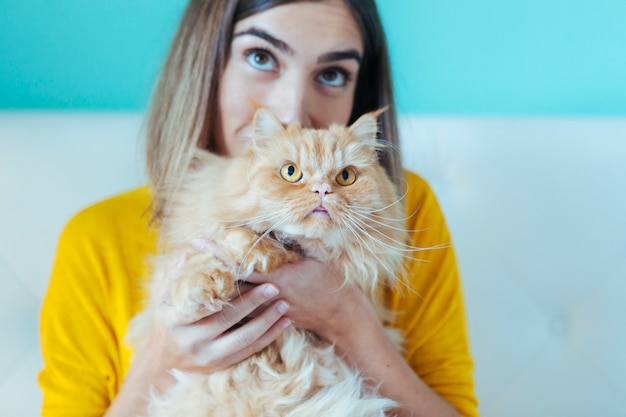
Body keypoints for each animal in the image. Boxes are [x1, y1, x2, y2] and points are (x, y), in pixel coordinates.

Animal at [127, 108, 410, 416]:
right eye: (291, 172)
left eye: (346, 176)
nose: (322, 190)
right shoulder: (188, 252)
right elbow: (204, 257)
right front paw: (208, 283)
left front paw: (258, 253)